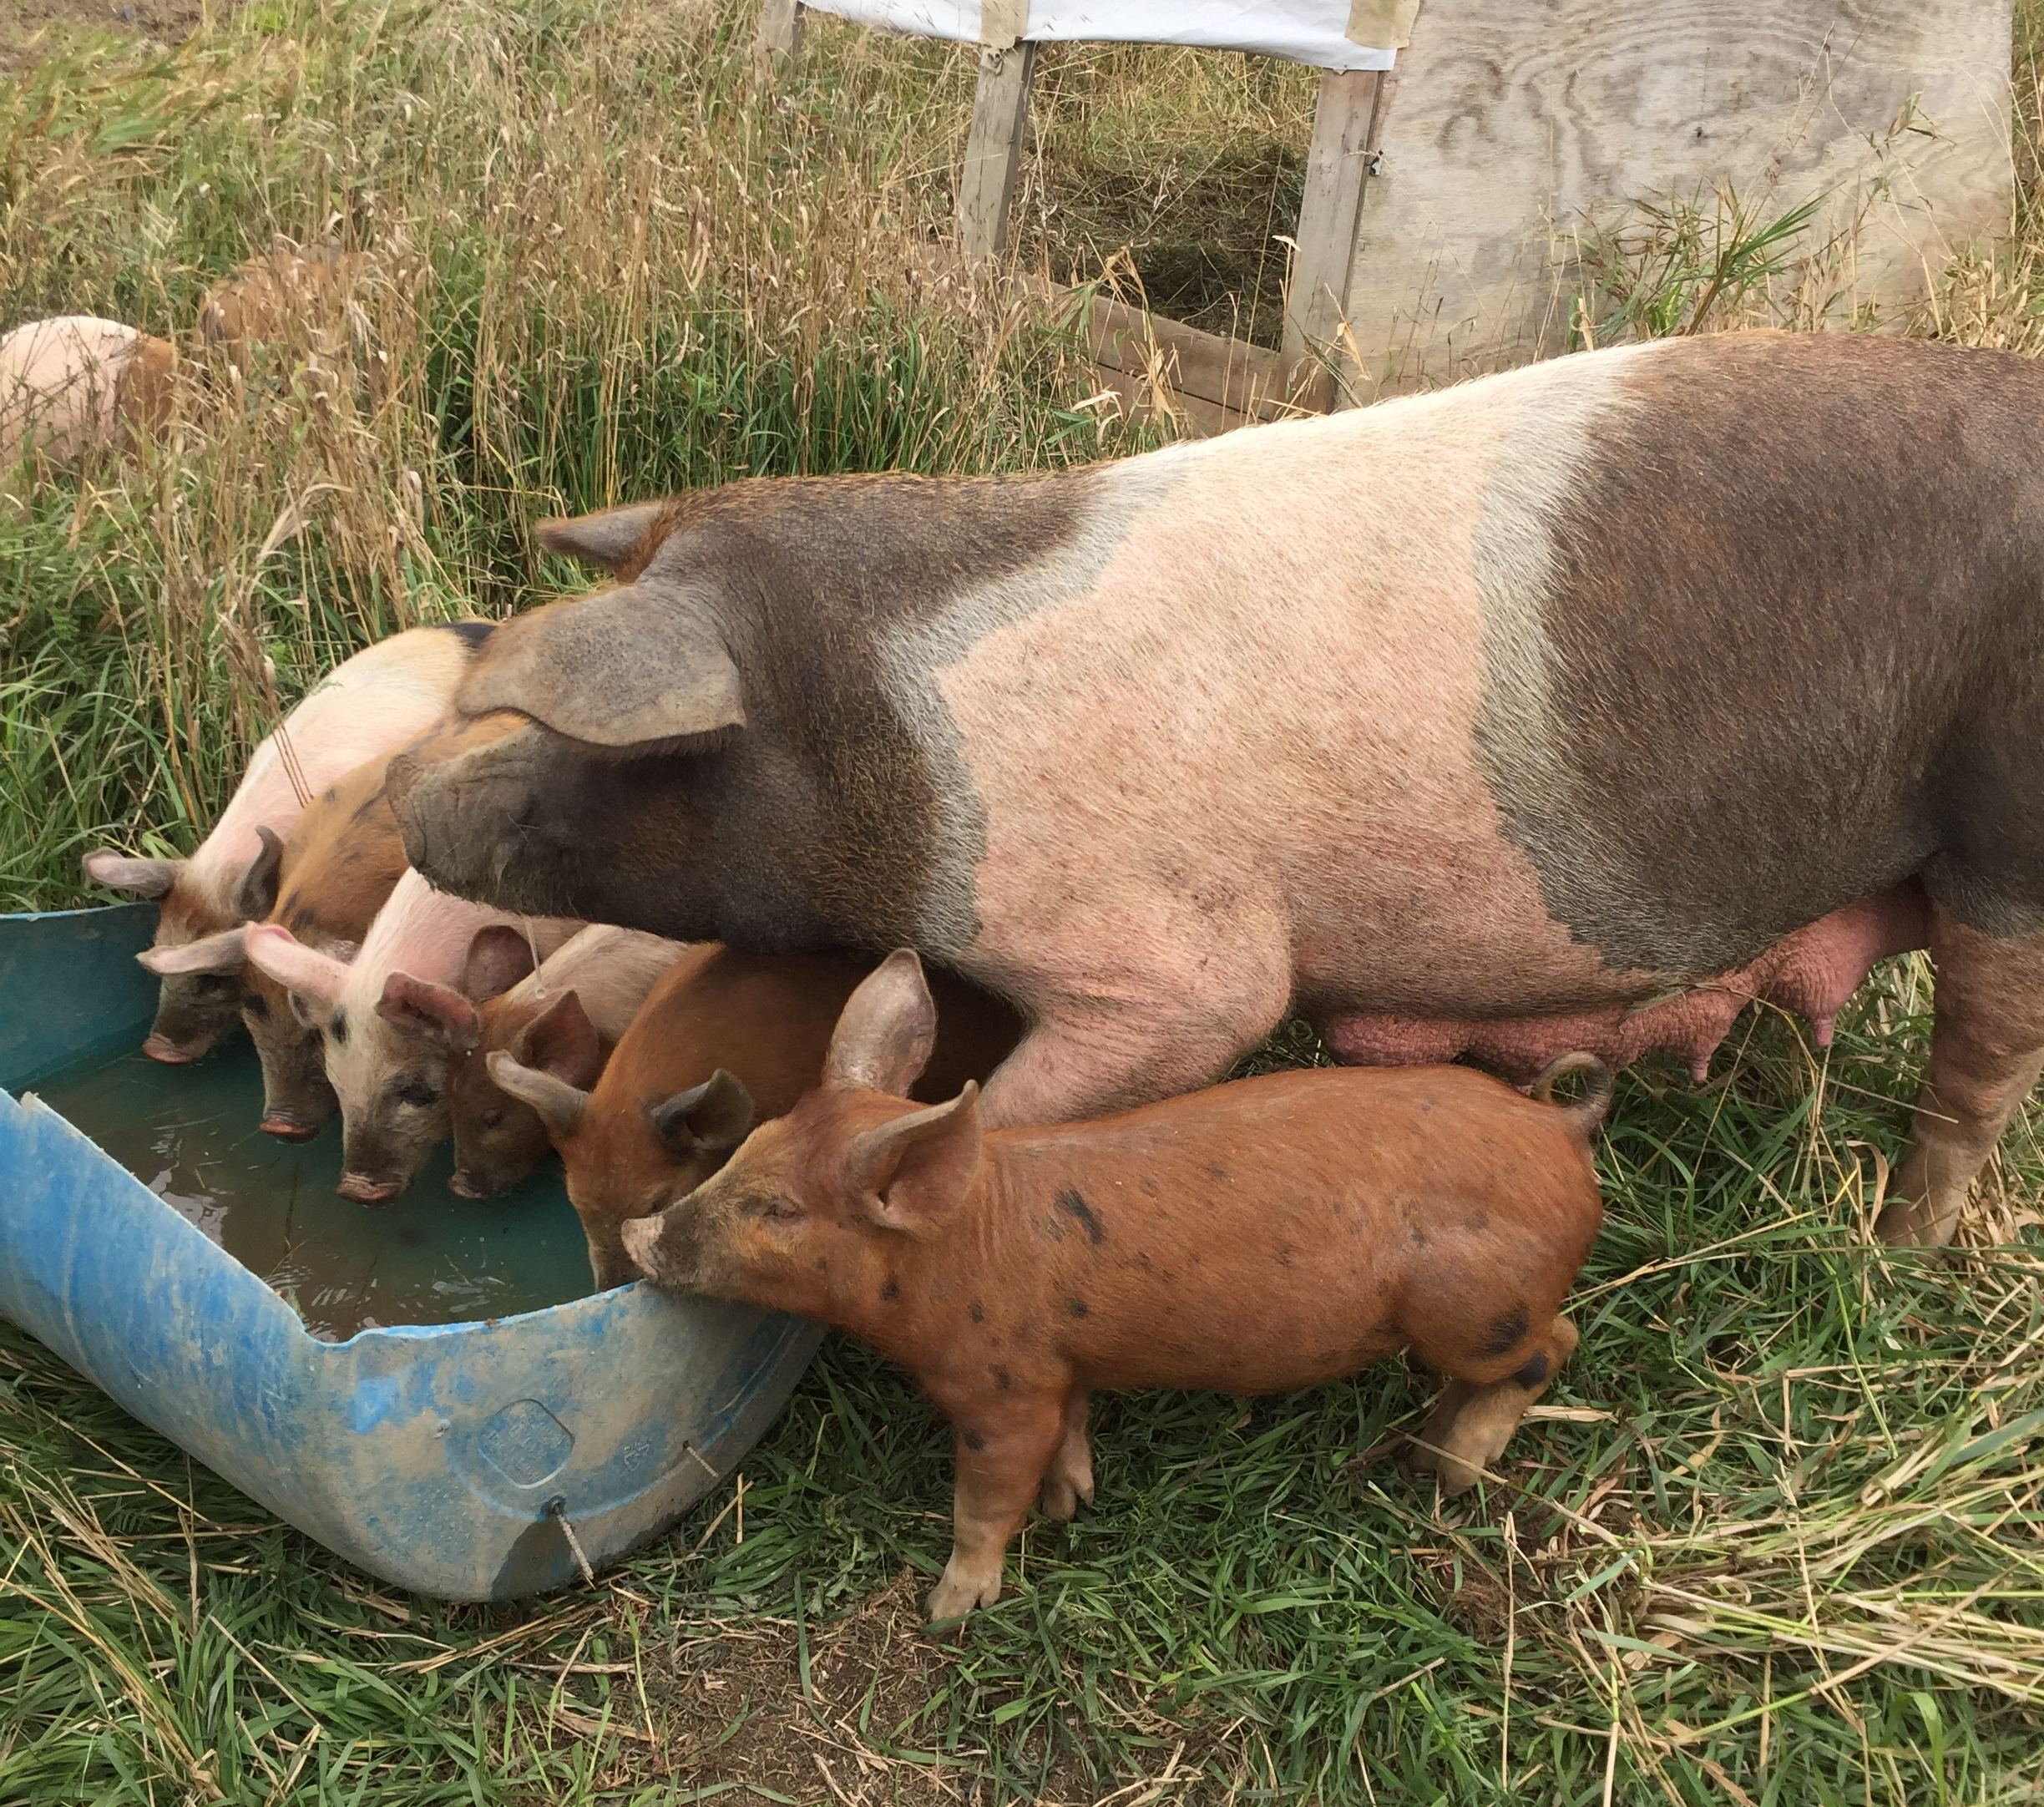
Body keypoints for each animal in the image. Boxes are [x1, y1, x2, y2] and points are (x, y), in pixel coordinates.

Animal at [621, 951, 1609, 1623]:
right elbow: (1070, 1433)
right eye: (751, 1146)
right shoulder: (1062, 1370)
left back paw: (1450, 1472)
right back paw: (1421, 1450)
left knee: (1552, 1348)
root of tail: (1560, 1126)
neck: (957, 1248)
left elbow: (987, 1496)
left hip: (1473, 1307)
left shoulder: (1000, 1388)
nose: (638, 1237)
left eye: (780, 1210)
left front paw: (949, 1607)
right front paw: (1074, 1503)